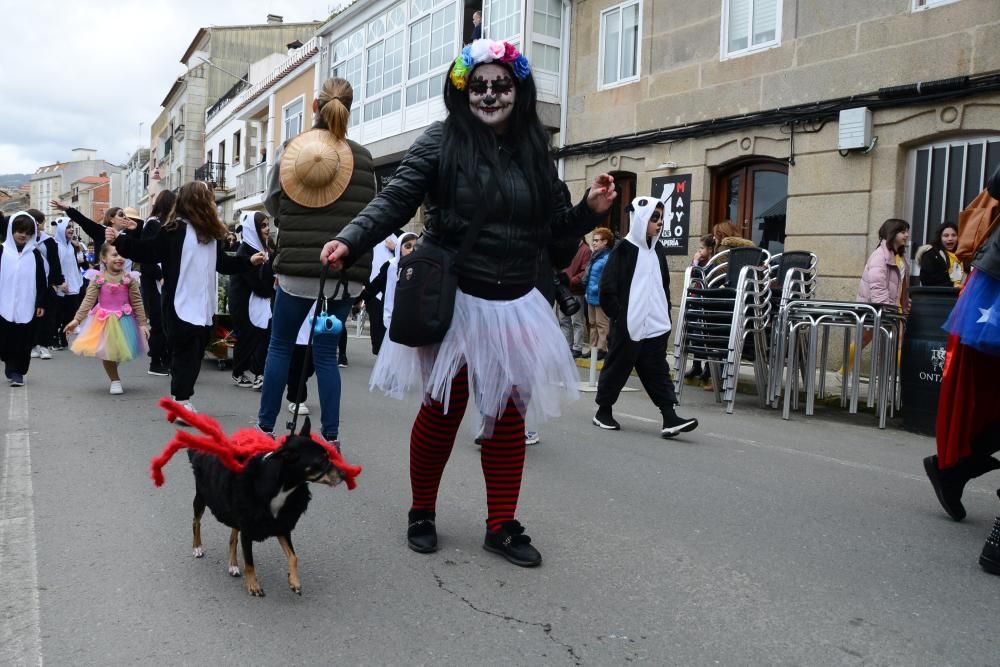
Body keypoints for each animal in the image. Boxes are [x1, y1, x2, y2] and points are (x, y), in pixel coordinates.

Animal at [188, 420, 344, 596]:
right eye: (321, 461)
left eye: (328, 456)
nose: (344, 474)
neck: (283, 487)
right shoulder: (248, 529)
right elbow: (249, 562)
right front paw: (253, 585)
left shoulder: (281, 525)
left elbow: (293, 557)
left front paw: (294, 581)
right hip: (201, 498)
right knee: (196, 522)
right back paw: (197, 547)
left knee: (233, 536)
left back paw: (233, 565)